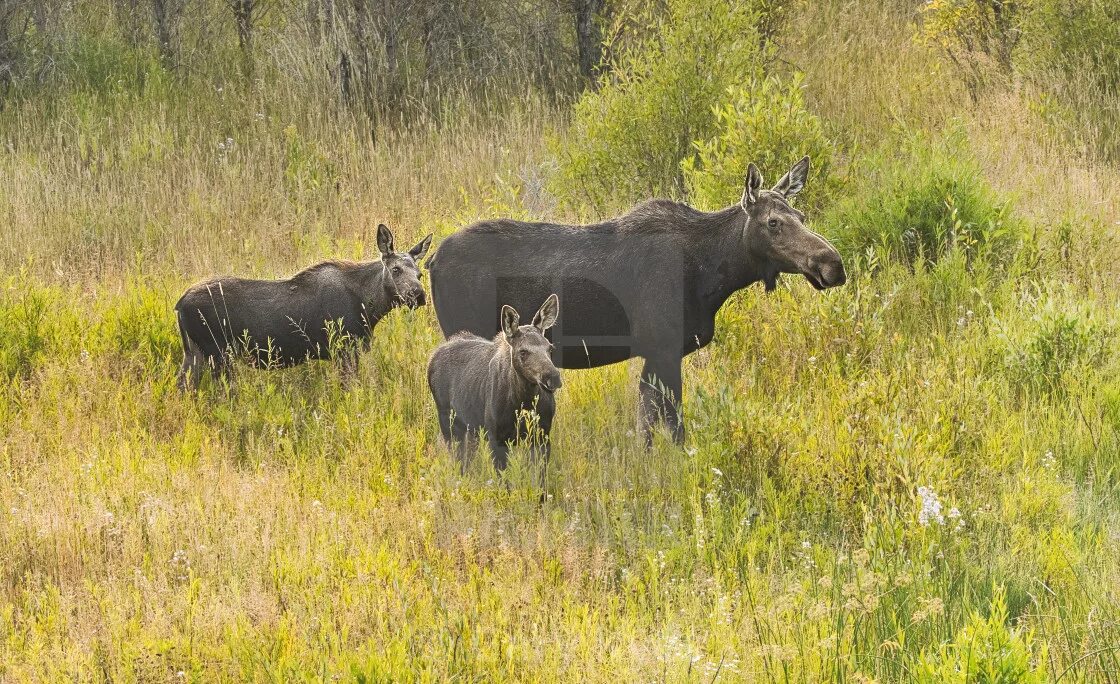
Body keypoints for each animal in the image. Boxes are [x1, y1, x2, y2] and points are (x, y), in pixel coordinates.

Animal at [175, 225, 432, 391]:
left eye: (419, 274)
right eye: (396, 269)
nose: (418, 295)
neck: (370, 307)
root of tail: (179, 305)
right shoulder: (345, 349)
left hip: (195, 352)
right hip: (218, 353)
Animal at [427, 156, 846, 443]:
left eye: (801, 215)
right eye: (774, 222)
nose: (833, 264)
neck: (713, 274)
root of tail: (431, 260)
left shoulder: (655, 356)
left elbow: (648, 427)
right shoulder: (664, 349)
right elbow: (673, 429)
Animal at [432, 293, 564, 476]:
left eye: (550, 348)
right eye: (523, 351)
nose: (552, 377)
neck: (524, 401)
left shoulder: (542, 436)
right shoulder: (497, 438)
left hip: (470, 428)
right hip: (448, 422)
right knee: (459, 462)